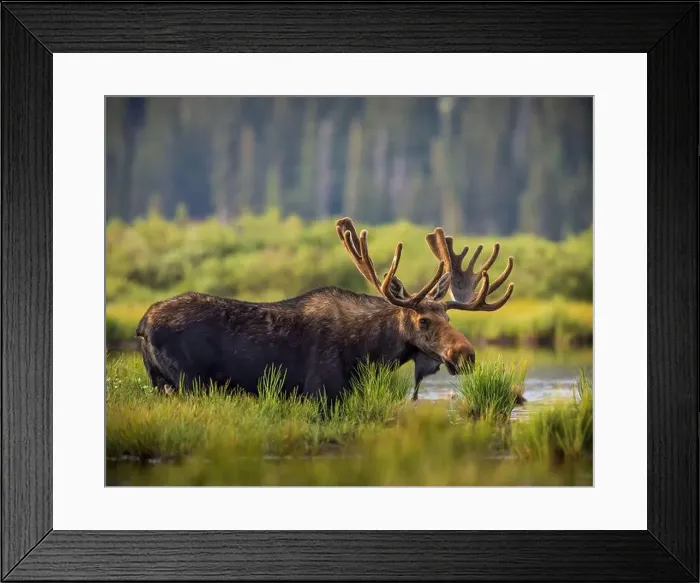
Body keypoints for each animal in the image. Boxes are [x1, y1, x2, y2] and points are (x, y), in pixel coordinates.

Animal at [134, 217, 514, 409]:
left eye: (449, 318)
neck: (370, 352)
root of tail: (141, 324)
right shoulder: (321, 393)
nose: (466, 354)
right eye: (424, 320)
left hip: (160, 384)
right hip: (188, 382)